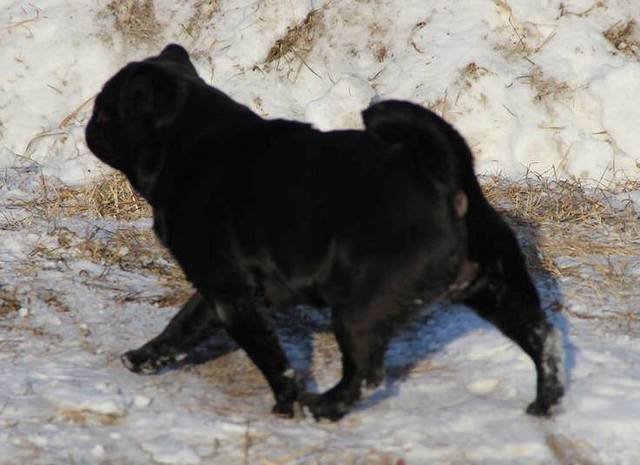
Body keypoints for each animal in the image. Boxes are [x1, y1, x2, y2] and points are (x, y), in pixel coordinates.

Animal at [86, 44, 564, 420]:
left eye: (103, 111)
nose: (88, 126)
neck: (190, 143)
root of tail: (445, 179)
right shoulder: (217, 292)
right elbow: (182, 327)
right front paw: (146, 358)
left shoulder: (230, 294)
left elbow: (271, 359)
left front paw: (287, 403)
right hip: (498, 290)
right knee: (542, 339)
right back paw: (546, 403)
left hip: (357, 310)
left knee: (366, 374)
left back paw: (324, 407)